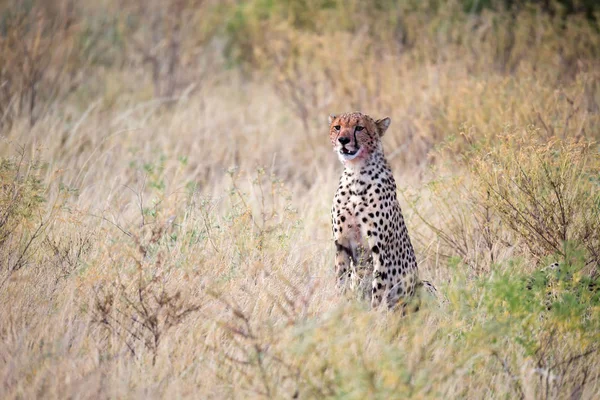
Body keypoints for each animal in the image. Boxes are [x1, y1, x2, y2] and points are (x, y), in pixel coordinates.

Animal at [328, 111, 426, 310]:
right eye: (337, 127)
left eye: (359, 128)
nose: (343, 140)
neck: (355, 174)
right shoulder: (341, 244)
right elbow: (341, 282)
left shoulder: (380, 249)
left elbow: (378, 290)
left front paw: (375, 315)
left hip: (422, 286)